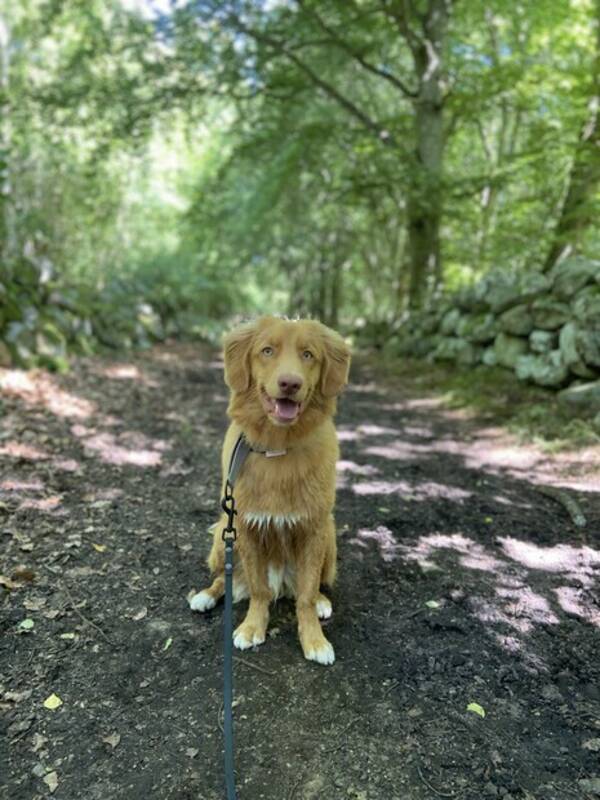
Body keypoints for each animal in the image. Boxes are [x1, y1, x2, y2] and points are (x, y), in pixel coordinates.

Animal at [190, 316, 352, 664]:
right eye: (267, 351)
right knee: (223, 578)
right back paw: (206, 596)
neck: (278, 448)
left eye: (308, 354)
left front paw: (314, 639)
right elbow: (259, 589)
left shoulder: (314, 528)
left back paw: (322, 601)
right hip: (222, 533)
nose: (290, 383)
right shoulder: (245, 527)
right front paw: (253, 627)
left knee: (312, 586)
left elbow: (306, 594)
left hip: (330, 537)